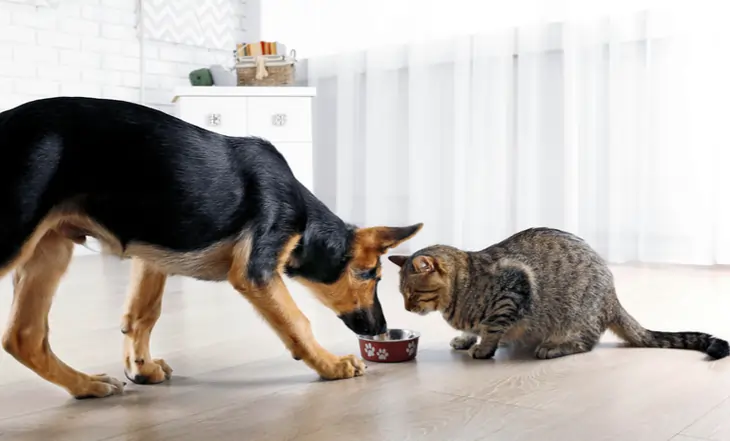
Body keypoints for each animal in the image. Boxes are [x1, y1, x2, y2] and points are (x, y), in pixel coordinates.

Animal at [0, 97, 420, 398]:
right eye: (371, 275)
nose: (382, 329)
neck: (303, 221)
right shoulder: (255, 270)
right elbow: (298, 321)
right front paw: (332, 366)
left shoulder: (152, 255)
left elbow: (142, 315)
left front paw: (140, 369)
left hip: (50, 248)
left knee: (23, 336)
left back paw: (85, 385)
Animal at [386, 229, 728, 360]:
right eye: (401, 293)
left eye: (412, 293)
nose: (406, 308)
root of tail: (613, 297)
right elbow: (475, 328)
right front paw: (466, 338)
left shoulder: (514, 288)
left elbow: (492, 327)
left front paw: (483, 348)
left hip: (577, 317)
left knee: (586, 343)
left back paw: (553, 347)